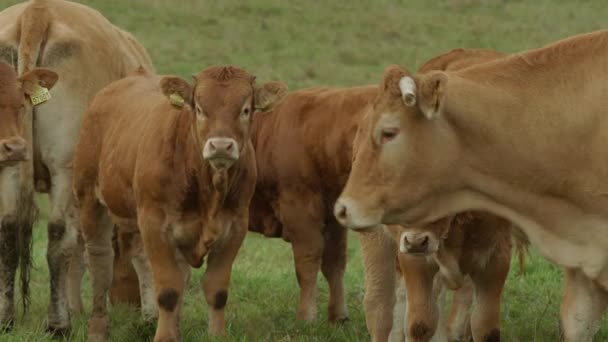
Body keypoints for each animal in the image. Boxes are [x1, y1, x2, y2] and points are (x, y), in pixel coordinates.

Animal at [0, 0, 154, 334]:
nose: (129, 305)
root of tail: (38, 10)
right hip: (65, 165)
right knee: (58, 237)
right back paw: (58, 324)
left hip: (10, 161)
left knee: (8, 230)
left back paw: (7, 318)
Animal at [72, 66, 282, 342]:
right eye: (200, 109)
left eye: (245, 109)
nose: (221, 146)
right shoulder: (154, 224)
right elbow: (169, 290)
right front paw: (165, 336)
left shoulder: (235, 226)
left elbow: (216, 290)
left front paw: (215, 335)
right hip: (89, 198)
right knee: (100, 262)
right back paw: (97, 328)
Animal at [334, 29, 608, 342]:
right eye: (360, 149)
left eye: (389, 132)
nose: (342, 209)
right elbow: (420, 324)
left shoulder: (495, 261)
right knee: (382, 305)